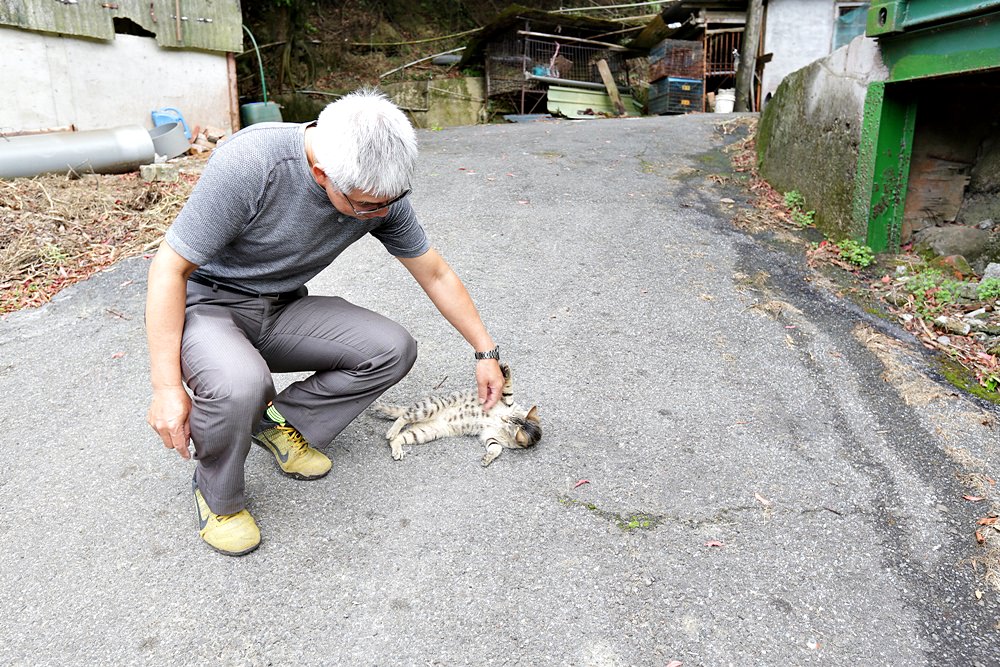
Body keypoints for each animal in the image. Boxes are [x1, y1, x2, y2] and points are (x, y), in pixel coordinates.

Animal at [376, 362, 544, 468]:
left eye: (507, 423)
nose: (503, 418)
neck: (501, 428)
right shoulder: (505, 401)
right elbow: (508, 390)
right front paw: (506, 372)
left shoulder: (491, 437)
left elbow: (496, 448)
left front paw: (488, 458)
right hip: (430, 407)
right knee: (403, 417)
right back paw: (392, 431)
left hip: (426, 432)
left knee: (400, 437)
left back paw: (396, 448)